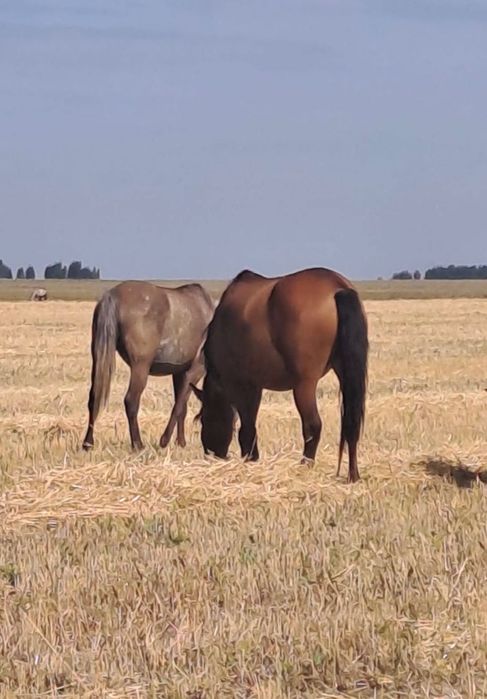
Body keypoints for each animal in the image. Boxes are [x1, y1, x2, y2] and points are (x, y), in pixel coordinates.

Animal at [82, 280, 215, 451]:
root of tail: (111, 296)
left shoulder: (179, 372)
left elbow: (182, 406)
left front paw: (180, 442)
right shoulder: (196, 369)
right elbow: (179, 404)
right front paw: (165, 440)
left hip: (98, 357)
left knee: (94, 397)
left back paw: (88, 443)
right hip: (140, 367)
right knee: (131, 401)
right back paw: (138, 444)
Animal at [190, 267, 368, 483]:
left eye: (203, 419)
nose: (212, 453)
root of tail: (337, 287)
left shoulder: (242, 384)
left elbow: (247, 427)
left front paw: (250, 459)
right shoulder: (255, 386)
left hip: (304, 385)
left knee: (313, 425)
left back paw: (305, 466)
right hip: (344, 374)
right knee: (351, 424)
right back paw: (353, 475)